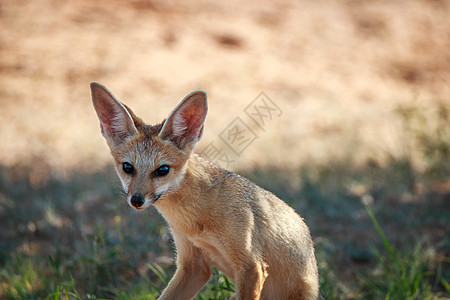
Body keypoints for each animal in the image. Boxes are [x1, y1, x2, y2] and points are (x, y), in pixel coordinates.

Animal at [89, 81, 320, 298]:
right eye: (128, 168)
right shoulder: (194, 265)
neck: (195, 219)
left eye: (162, 170)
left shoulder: (252, 266)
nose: (136, 200)